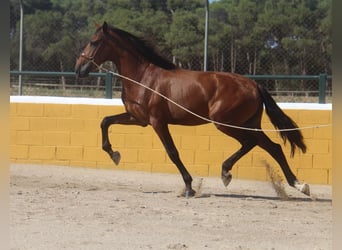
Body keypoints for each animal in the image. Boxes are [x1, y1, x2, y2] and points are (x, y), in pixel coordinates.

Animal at [75, 22, 310, 197]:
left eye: (94, 42)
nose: (79, 69)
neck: (143, 78)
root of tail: (254, 85)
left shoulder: (157, 121)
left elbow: (172, 152)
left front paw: (189, 187)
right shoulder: (138, 118)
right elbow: (105, 121)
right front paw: (114, 153)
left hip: (226, 123)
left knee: (251, 143)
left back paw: (226, 173)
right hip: (248, 123)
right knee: (273, 147)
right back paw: (299, 185)